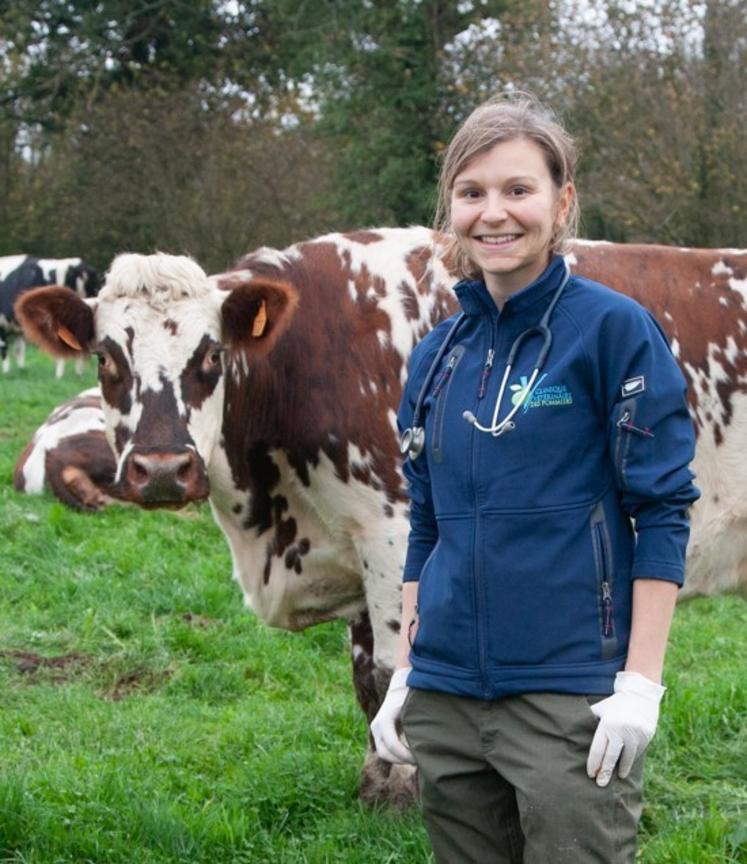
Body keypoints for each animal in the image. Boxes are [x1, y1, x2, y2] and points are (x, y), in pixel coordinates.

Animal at [13, 228, 747, 804]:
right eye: (106, 358)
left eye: (212, 355)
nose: (162, 469)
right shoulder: (356, 544)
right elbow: (366, 679)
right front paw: (377, 775)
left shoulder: (393, 532)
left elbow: (398, 670)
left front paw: (407, 789)